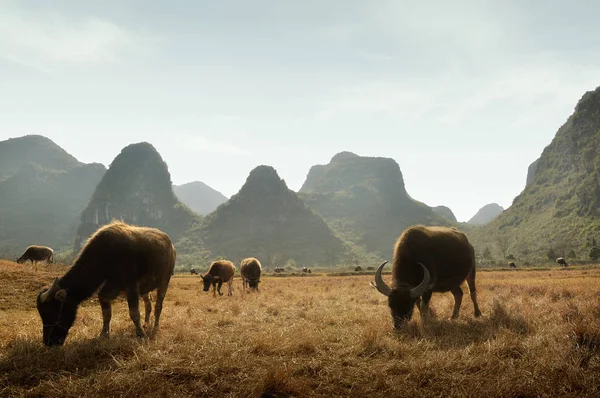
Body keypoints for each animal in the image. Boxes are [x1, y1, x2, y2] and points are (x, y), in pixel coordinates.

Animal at [35, 221, 176, 346]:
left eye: (53, 313)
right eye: (42, 314)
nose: (49, 342)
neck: (106, 258)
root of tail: (171, 246)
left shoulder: (131, 287)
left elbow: (134, 313)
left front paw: (141, 334)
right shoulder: (104, 293)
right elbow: (106, 314)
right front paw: (103, 334)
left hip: (165, 279)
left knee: (158, 306)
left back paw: (155, 327)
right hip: (145, 288)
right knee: (148, 304)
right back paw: (147, 323)